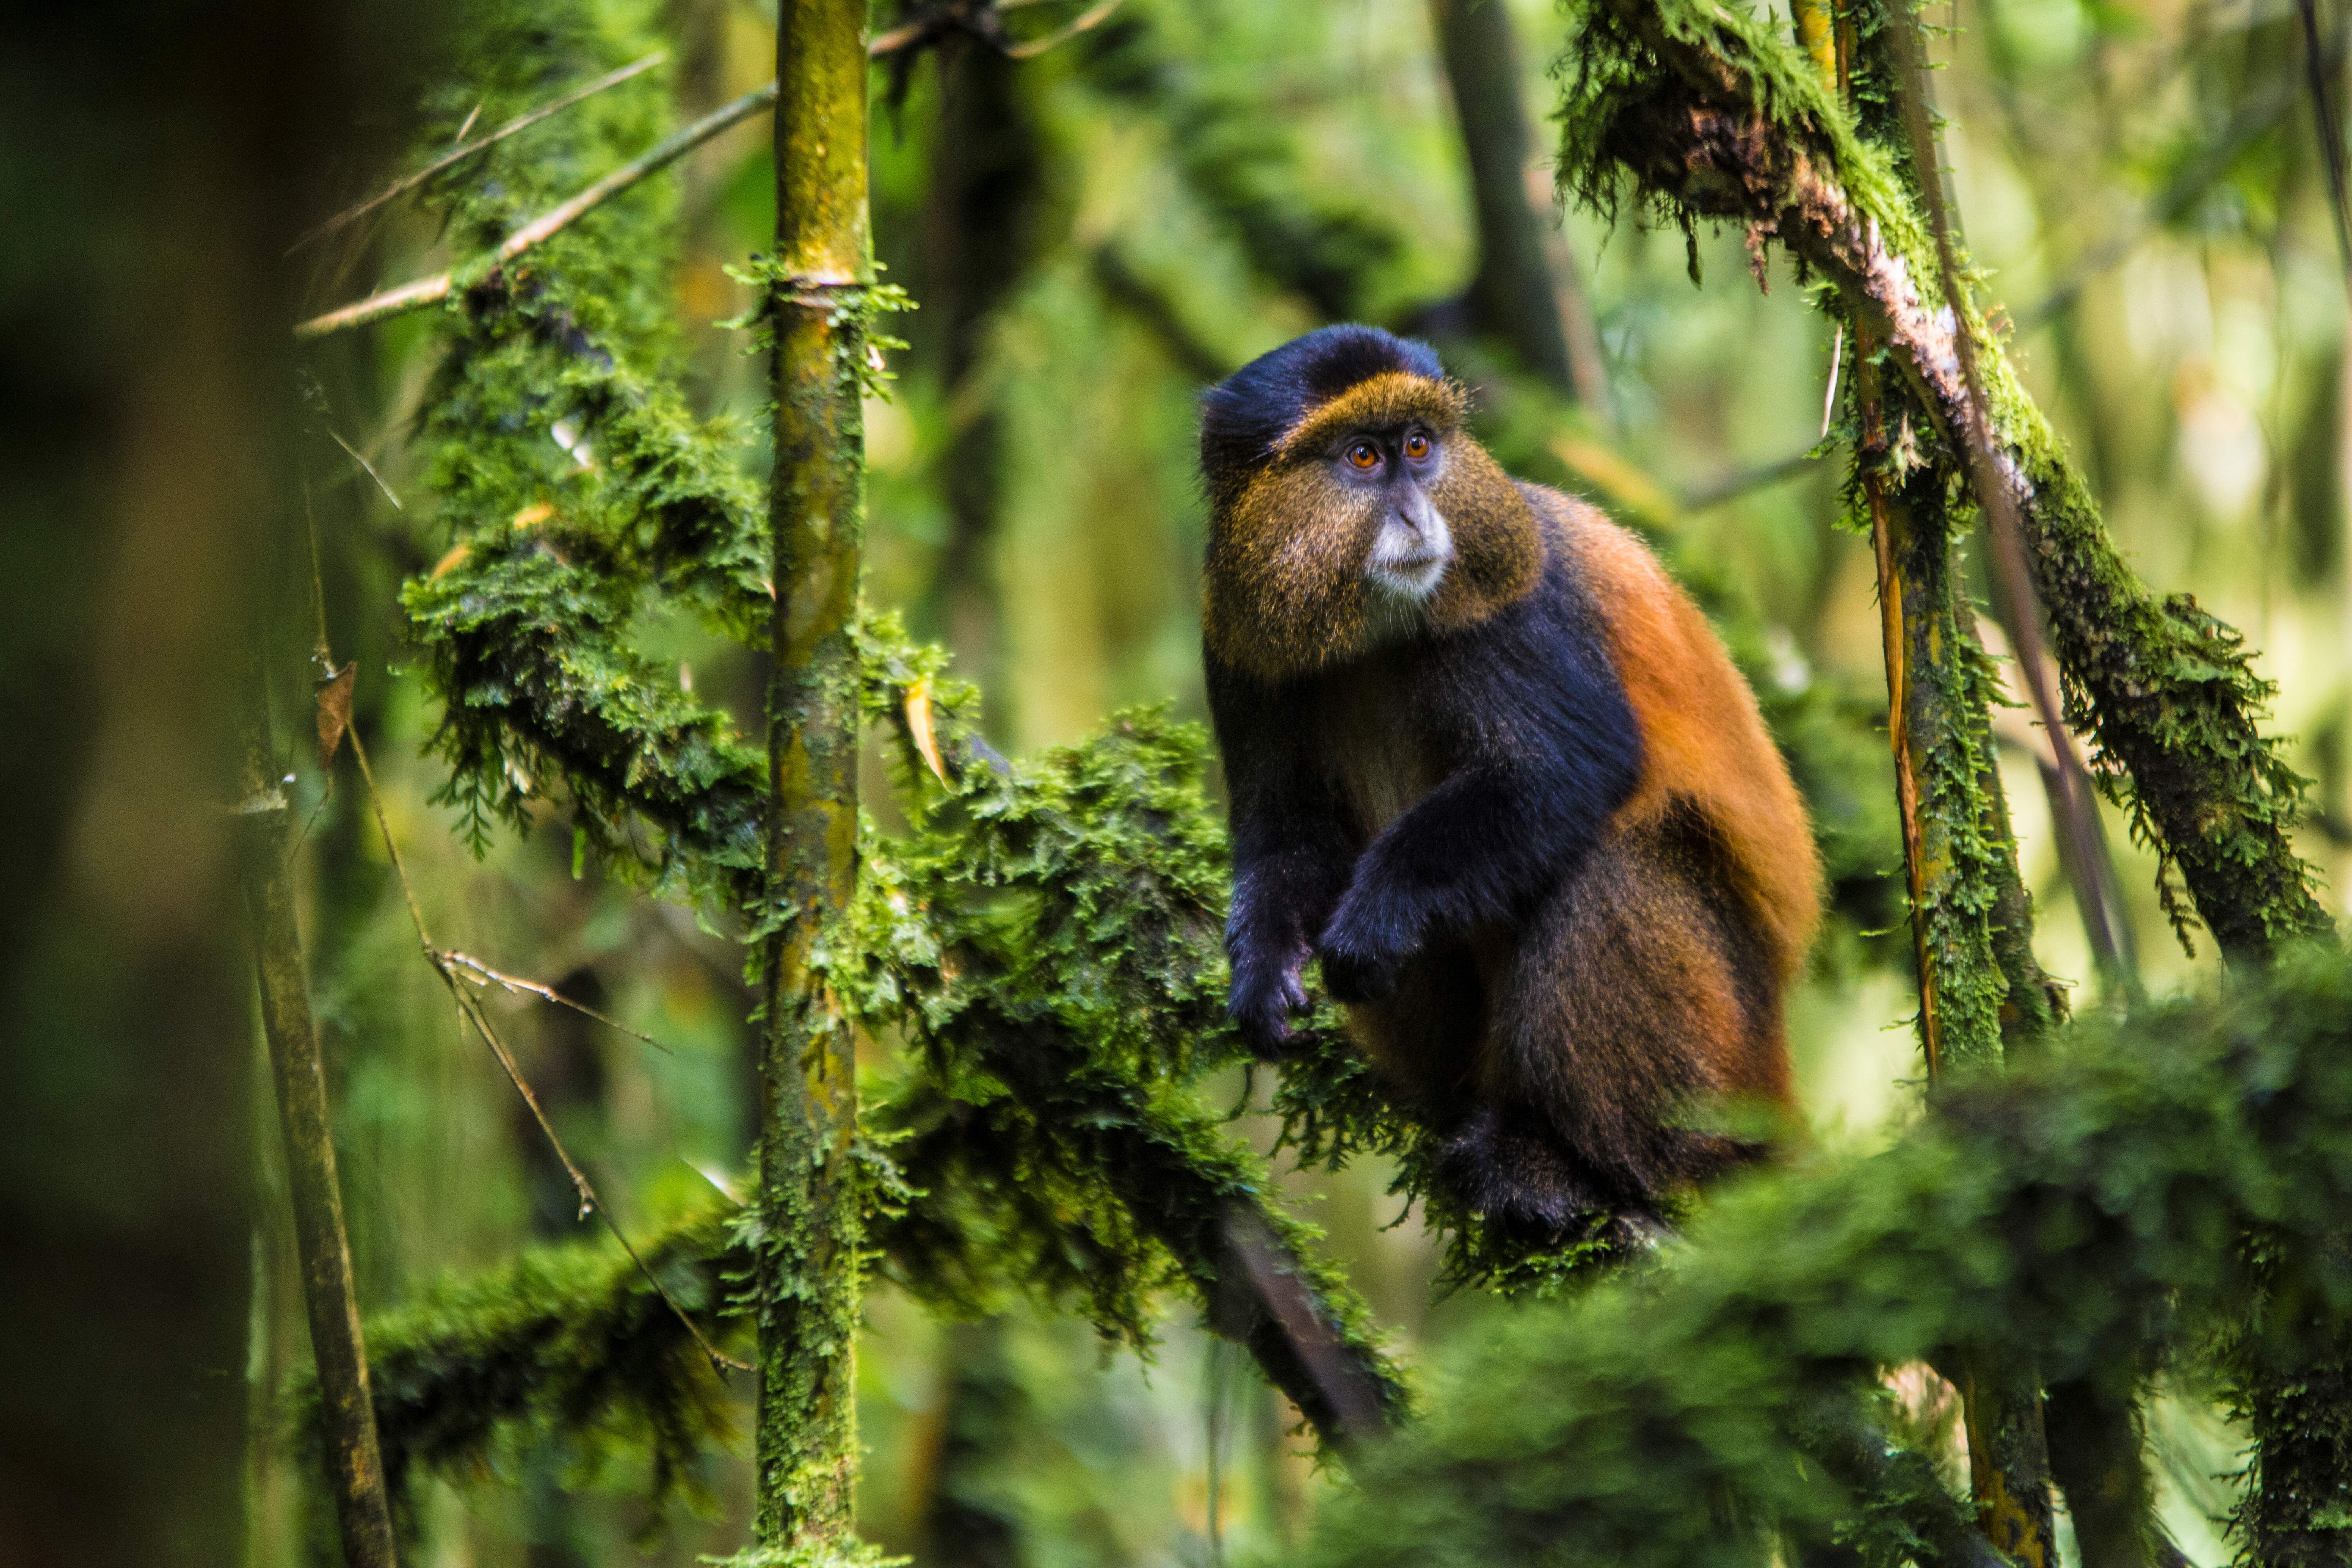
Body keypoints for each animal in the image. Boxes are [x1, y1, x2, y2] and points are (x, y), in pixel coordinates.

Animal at [1199, 325, 1821, 1237]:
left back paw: (1576, 1166)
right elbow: (1288, 832)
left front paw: (1378, 914)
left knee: (1608, 864)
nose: (1419, 514)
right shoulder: (1238, 644)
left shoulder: (1509, 607)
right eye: (1362, 456)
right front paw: (1263, 969)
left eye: (1420, 447)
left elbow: (1566, 768)